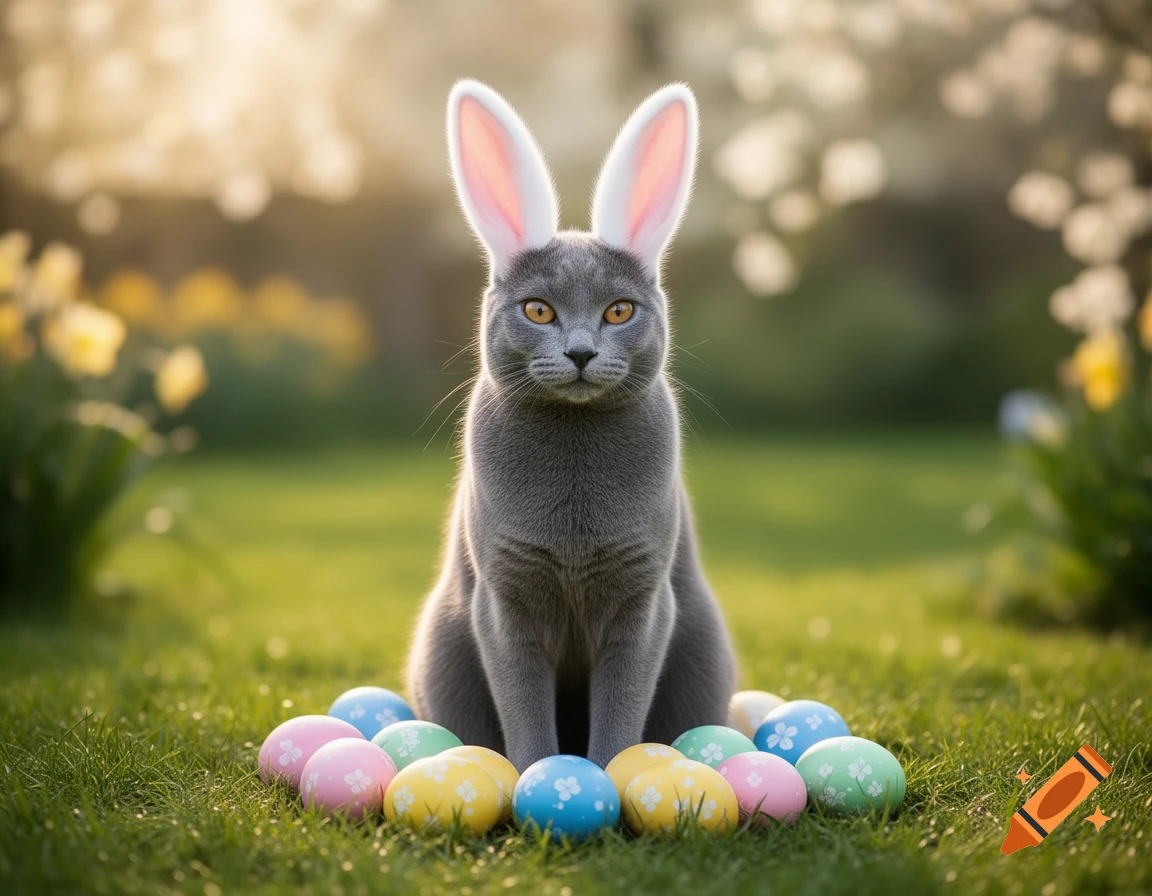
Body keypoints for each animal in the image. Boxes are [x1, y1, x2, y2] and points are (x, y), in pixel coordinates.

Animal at [405, 79, 736, 772]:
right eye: (538, 310)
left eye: (619, 311)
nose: (581, 351)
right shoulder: (503, 600)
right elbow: (523, 705)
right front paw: (542, 774)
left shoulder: (645, 600)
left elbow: (622, 706)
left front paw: (607, 777)